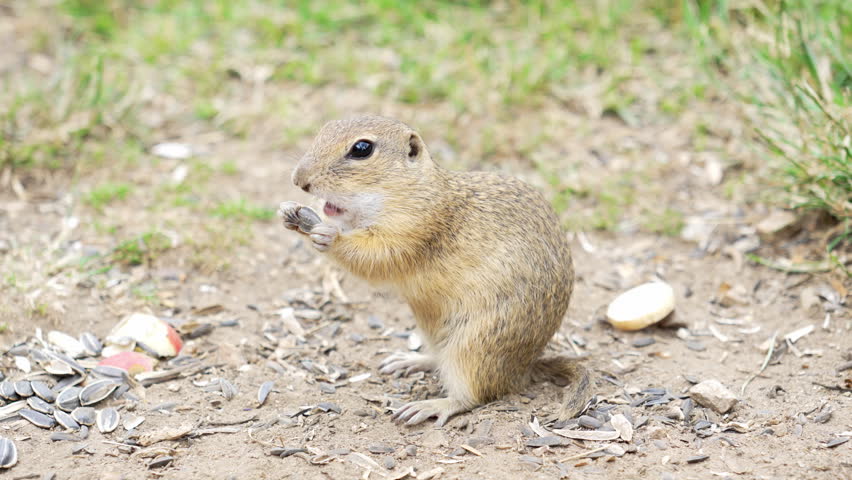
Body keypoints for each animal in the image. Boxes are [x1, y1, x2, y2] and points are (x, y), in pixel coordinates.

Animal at [279, 115, 591, 426]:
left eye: (362, 148)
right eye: (324, 129)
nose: (299, 180)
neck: (413, 191)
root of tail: (525, 369)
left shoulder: (414, 231)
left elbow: (374, 258)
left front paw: (327, 235)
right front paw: (294, 214)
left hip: (473, 347)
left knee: (472, 395)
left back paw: (432, 405)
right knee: (438, 359)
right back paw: (410, 361)